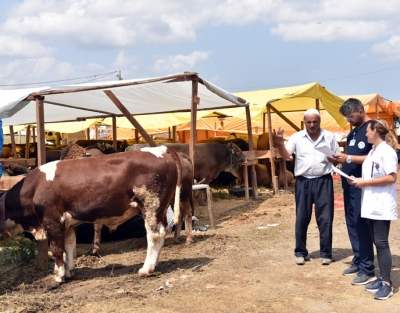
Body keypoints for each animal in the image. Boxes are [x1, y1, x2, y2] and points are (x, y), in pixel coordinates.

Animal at [0, 146, 181, 282]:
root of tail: (161, 149)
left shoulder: (52, 221)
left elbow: (58, 250)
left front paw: (57, 277)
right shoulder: (68, 225)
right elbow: (69, 247)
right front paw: (69, 272)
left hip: (151, 205)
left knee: (155, 235)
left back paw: (146, 269)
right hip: (161, 209)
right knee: (163, 232)